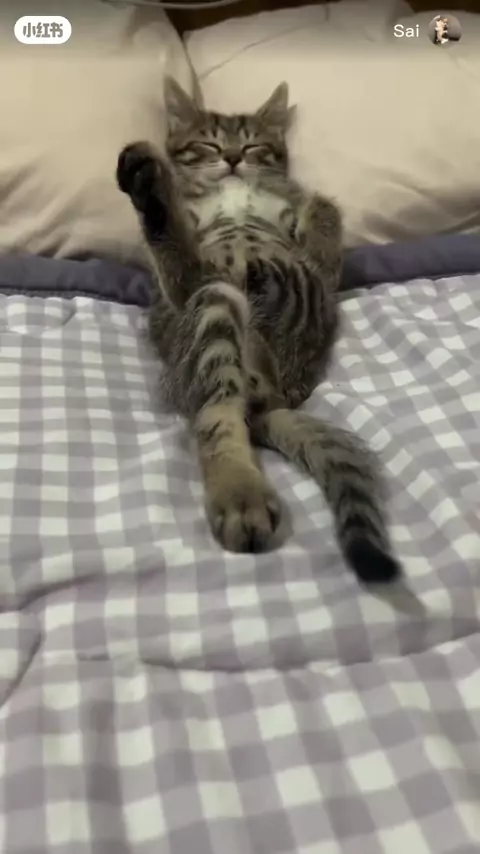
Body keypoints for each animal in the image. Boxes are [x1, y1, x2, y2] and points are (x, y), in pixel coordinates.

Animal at [116, 77, 401, 585]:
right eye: (209, 144)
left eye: (252, 145)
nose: (232, 158)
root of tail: (273, 392)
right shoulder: (181, 252)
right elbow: (171, 260)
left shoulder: (296, 200)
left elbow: (323, 209)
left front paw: (322, 254)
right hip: (210, 316)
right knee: (215, 407)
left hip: (290, 319)